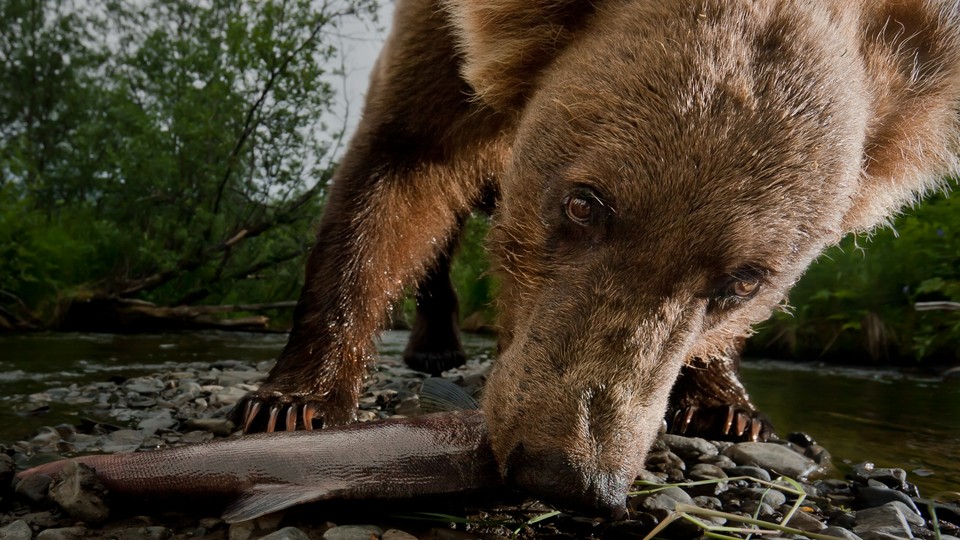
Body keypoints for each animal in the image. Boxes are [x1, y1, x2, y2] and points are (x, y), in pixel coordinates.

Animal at [232, 0, 960, 516]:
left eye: (745, 280)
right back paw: (434, 343)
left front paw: (727, 404)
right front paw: (293, 401)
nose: (568, 472)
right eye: (584, 203)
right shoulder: (436, 49)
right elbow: (396, 168)